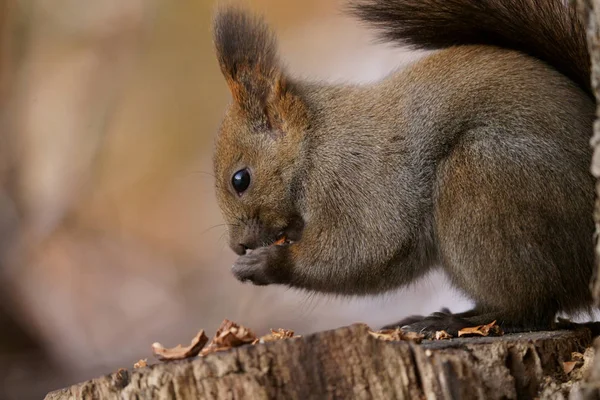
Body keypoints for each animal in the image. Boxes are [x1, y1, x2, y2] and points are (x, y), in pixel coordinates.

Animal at [211, 0, 596, 338]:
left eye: (240, 180)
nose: (237, 246)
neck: (313, 143)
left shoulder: (355, 177)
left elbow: (367, 248)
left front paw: (266, 263)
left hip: (484, 183)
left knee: (532, 307)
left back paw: (451, 323)